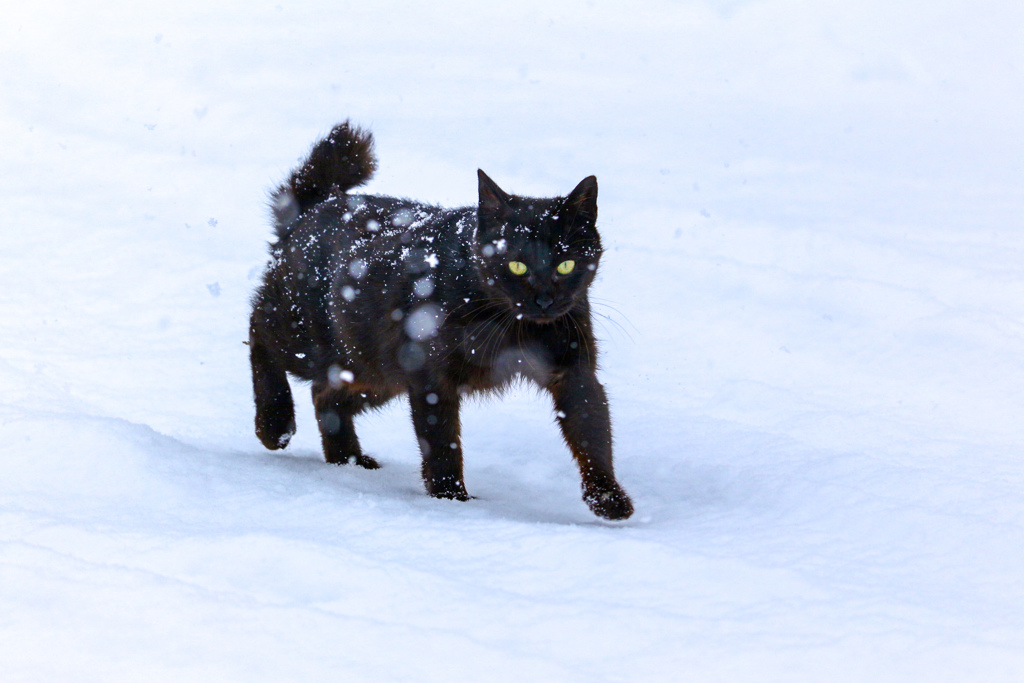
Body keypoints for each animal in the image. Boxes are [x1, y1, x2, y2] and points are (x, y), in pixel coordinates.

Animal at [247, 121, 630, 518]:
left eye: (566, 264)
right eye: (517, 265)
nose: (543, 300)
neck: (511, 324)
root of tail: (312, 209)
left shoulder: (572, 369)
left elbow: (592, 432)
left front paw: (607, 497)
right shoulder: (431, 376)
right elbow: (442, 442)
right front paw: (451, 500)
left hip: (375, 372)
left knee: (325, 395)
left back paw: (348, 461)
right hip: (311, 339)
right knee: (260, 331)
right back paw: (274, 424)